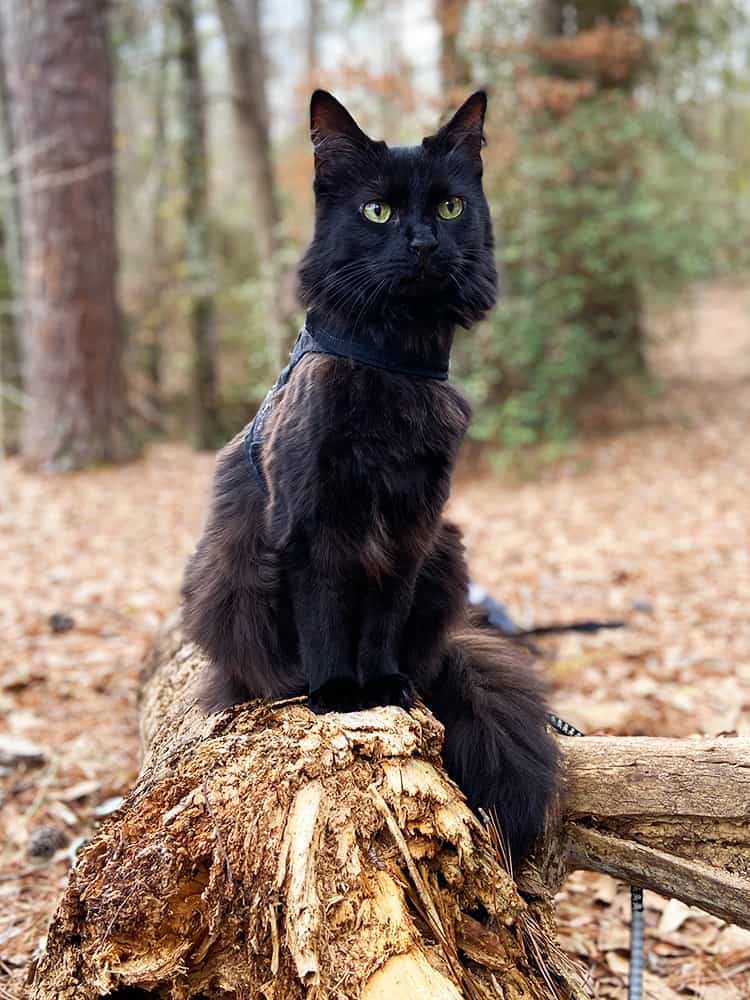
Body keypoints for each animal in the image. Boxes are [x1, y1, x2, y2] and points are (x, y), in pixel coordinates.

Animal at [182, 90, 560, 864]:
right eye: (377, 212)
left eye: (449, 206)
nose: (422, 243)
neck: (394, 363)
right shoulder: (313, 524)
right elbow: (327, 614)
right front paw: (336, 693)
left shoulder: (413, 526)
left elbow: (382, 615)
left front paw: (380, 685)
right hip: (230, 570)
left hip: (448, 550)